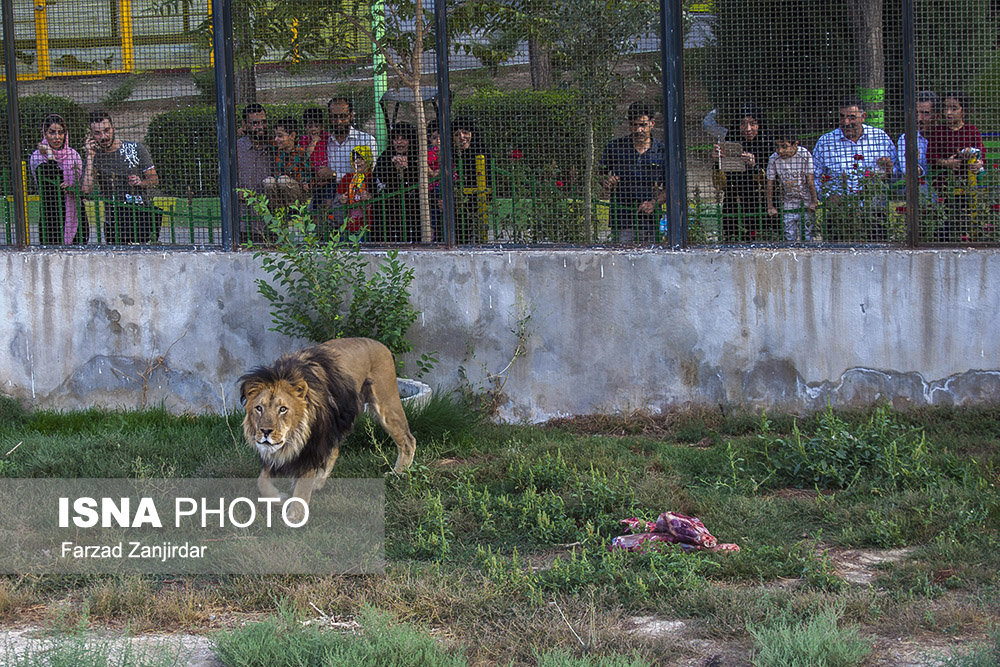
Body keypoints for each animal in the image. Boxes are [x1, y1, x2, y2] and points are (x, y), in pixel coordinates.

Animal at [239, 336, 418, 516]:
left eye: (283, 409)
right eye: (259, 408)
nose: (265, 431)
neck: (294, 437)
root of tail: (378, 343)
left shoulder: (313, 445)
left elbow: (302, 484)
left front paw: (296, 514)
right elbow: (261, 481)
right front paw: (279, 497)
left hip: (385, 404)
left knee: (408, 440)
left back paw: (397, 473)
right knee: (335, 450)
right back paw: (318, 483)